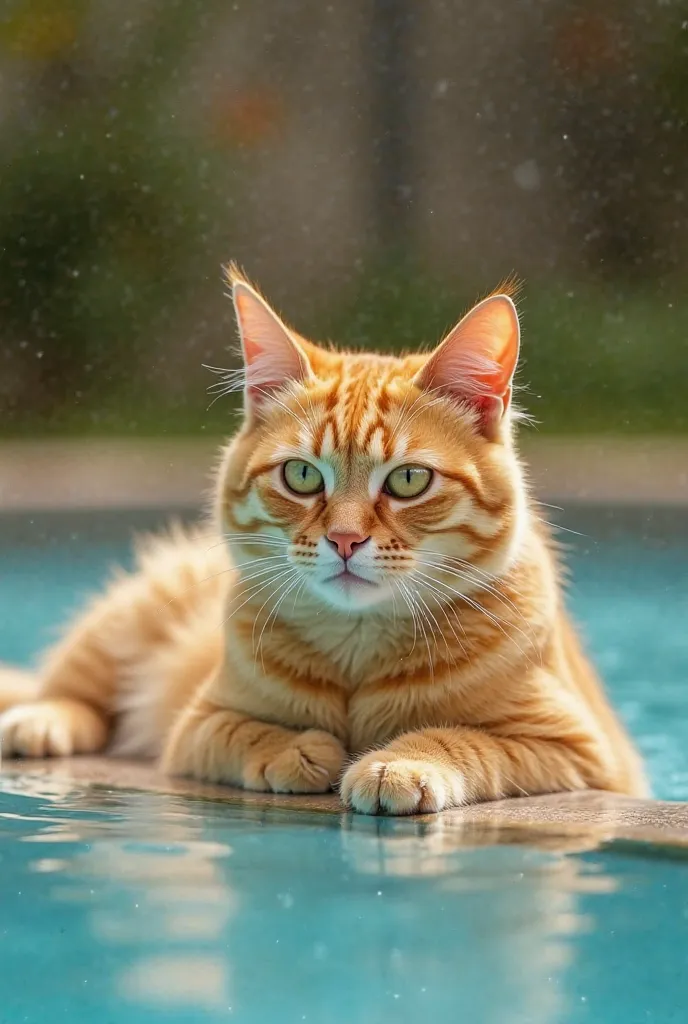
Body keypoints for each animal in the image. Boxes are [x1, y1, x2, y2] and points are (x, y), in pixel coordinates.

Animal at [0, 270, 647, 815]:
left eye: (408, 481)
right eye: (302, 475)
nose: (344, 539)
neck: (359, 643)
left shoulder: (579, 750)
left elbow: (464, 739)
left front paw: (396, 763)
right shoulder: (198, 725)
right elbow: (245, 731)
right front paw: (298, 750)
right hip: (127, 619)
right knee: (67, 689)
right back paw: (40, 723)